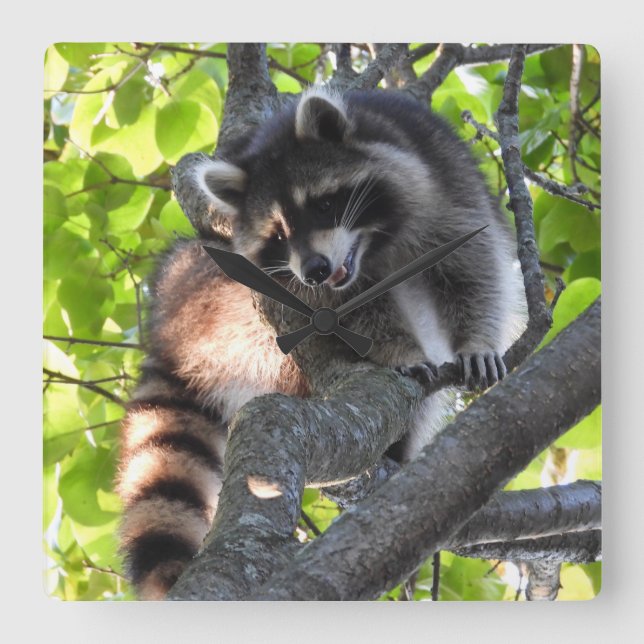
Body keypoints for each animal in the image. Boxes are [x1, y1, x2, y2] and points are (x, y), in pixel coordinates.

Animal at [116, 87, 526, 599]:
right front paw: (399, 348)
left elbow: (474, 265)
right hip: (220, 302)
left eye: (324, 205)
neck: (372, 243)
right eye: (278, 233)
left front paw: (477, 341)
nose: (313, 268)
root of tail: (170, 323)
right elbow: (359, 310)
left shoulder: (445, 178)